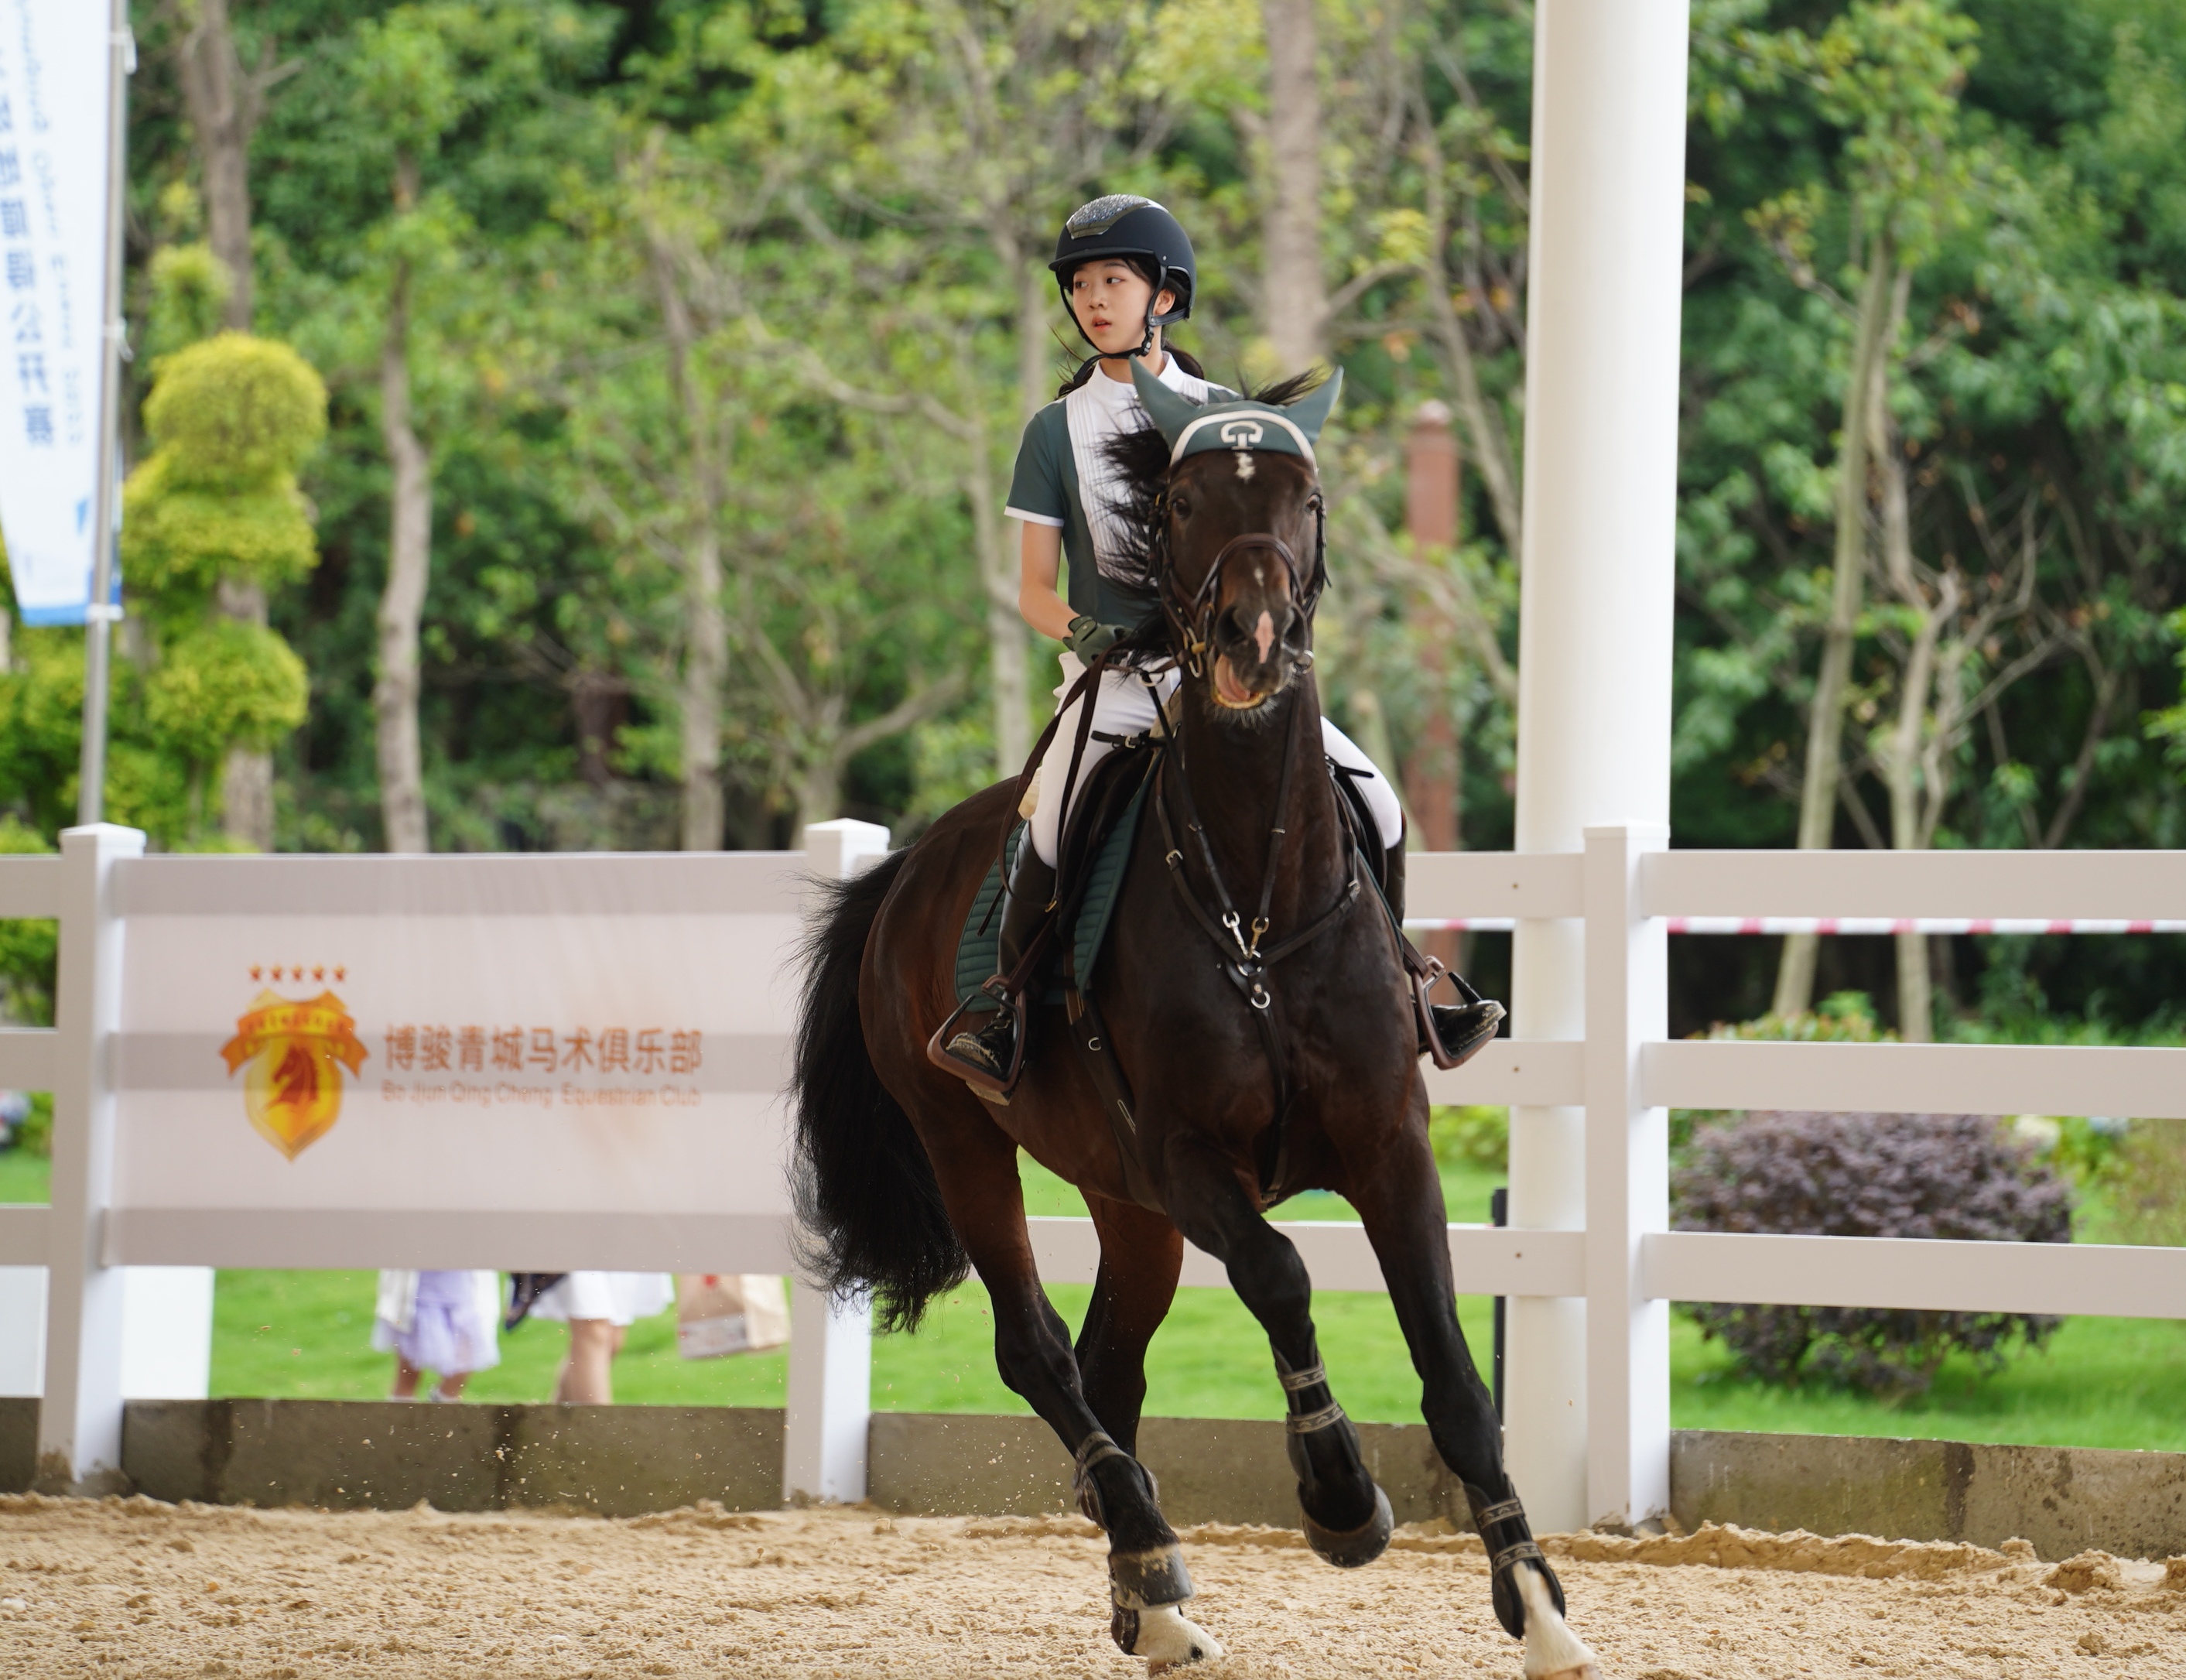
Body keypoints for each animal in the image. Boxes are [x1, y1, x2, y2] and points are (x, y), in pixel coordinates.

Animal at [795, 374, 1599, 1671]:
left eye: (1306, 499)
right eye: (1177, 502)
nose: (1249, 641)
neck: (1257, 905)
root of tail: (910, 866)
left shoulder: (1390, 1147)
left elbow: (1454, 1376)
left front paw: (1535, 1602)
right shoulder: (1188, 1156)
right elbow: (1280, 1273)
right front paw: (1338, 1495)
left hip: (1124, 1198)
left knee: (1106, 1363)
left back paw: (1142, 1577)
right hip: (966, 1137)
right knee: (1036, 1348)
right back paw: (1158, 1565)